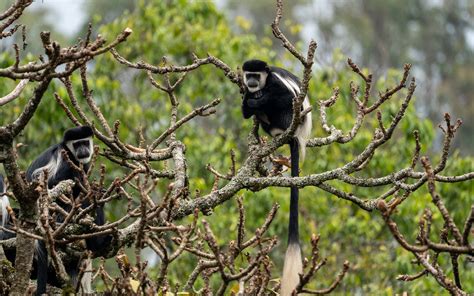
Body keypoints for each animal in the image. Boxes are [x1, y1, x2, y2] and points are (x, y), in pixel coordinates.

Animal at [241, 59, 312, 294]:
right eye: (248, 75)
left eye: (256, 75)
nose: (252, 82)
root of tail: (297, 136)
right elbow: (245, 110)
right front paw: (249, 103)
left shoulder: (274, 82)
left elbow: (284, 97)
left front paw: (258, 99)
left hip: (290, 118)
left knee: (285, 104)